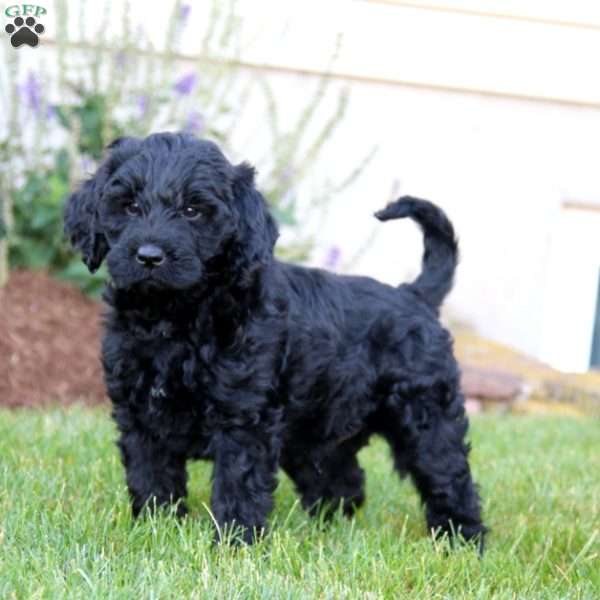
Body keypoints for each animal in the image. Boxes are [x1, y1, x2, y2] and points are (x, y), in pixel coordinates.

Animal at [64, 131, 488, 548]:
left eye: (192, 210)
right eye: (130, 206)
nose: (149, 256)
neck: (175, 318)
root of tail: (414, 294)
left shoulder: (243, 419)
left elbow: (238, 484)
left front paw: (235, 544)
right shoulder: (140, 416)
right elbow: (151, 476)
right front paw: (156, 528)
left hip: (426, 414)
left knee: (448, 475)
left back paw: (462, 538)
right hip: (317, 431)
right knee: (344, 479)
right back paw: (329, 530)